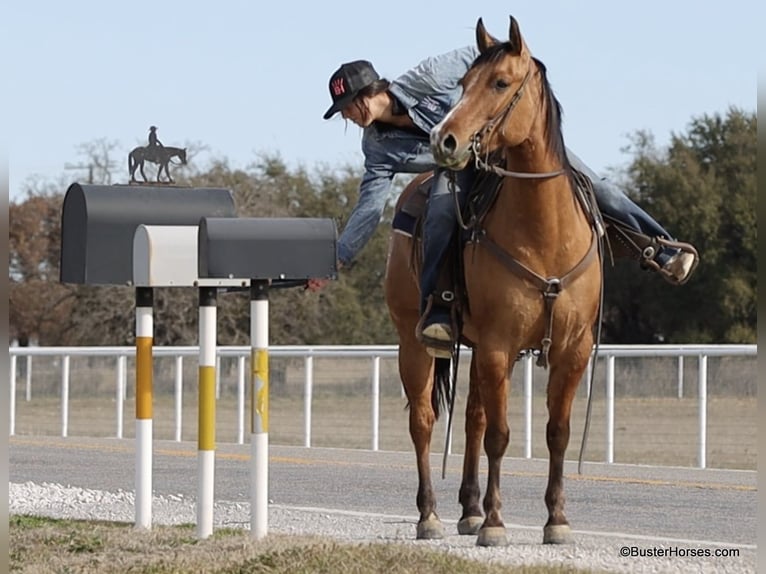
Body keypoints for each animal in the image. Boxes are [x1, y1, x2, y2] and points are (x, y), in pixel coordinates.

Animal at [383, 16, 602, 546]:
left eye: (501, 83)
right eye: (462, 84)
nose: (444, 139)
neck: (546, 234)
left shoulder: (572, 351)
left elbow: (556, 432)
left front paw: (556, 519)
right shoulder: (500, 344)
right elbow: (501, 436)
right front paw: (497, 523)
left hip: (478, 349)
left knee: (471, 419)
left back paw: (468, 509)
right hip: (413, 342)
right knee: (424, 422)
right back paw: (430, 515)